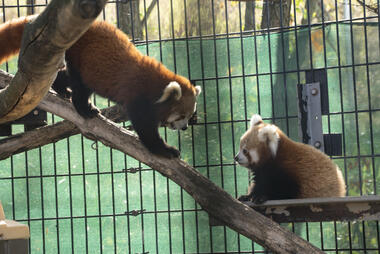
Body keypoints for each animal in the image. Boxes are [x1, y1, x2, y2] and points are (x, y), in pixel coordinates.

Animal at [0, 16, 202, 159]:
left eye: (190, 116)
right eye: (181, 116)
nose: (185, 128)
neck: (156, 84)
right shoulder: (138, 97)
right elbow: (146, 130)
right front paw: (165, 150)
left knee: (66, 77)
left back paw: (61, 89)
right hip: (80, 58)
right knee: (80, 87)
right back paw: (85, 108)